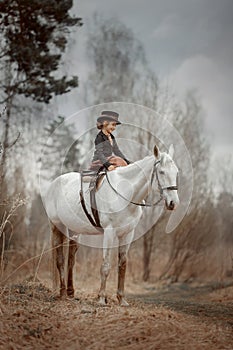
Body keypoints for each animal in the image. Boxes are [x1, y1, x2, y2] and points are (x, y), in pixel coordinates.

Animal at [43, 144, 178, 304]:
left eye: (176, 172)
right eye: (162, 172)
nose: (173, 203)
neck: (125, 194)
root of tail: (53, 184)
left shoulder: (127, 234)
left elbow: (123, 264)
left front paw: (121, 299)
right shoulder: (109, 232)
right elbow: (106, 265)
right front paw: (102, 298)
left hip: (74, 230)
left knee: (71, 259)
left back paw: (70, 292)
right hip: (57, 226)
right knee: (60, 260)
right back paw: (62, 292)